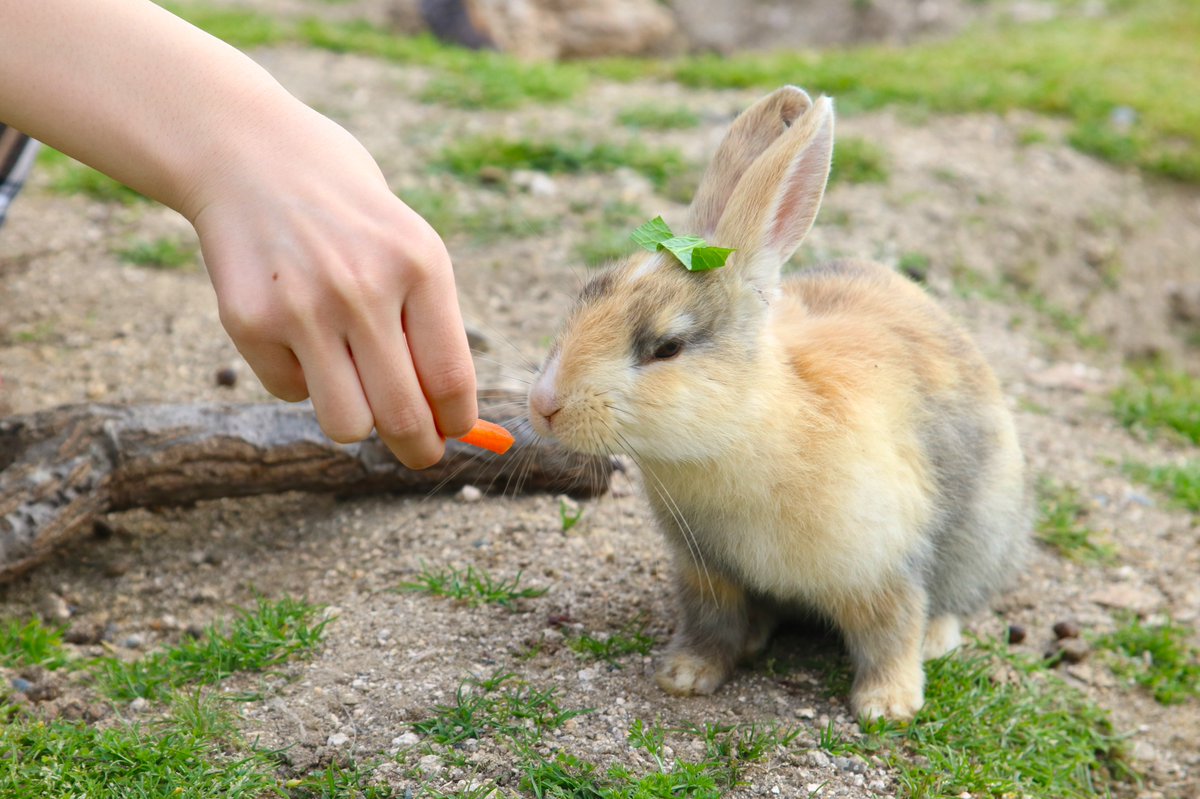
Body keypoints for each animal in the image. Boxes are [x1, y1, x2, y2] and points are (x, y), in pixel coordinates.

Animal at [530, 83, 1027, 719]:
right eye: (585, 298)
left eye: (666, 347)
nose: (545, 404)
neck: (747, 429)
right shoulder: (708, 573)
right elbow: (710, 626)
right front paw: (685, 676)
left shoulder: (882, 569)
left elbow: (890, 631)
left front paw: (887, 706)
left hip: (983, 533)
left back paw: (936, 641)